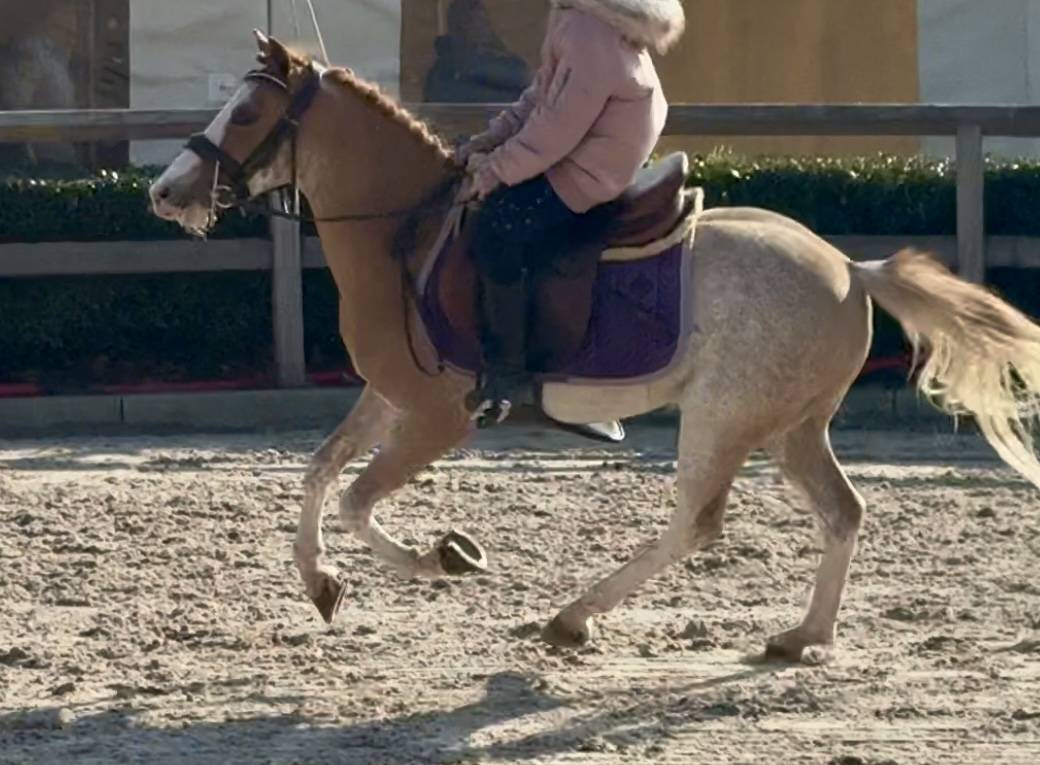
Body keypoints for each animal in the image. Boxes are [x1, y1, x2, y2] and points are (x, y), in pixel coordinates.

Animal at [149, 31, 1040, 664]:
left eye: (249, 115)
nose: (164, 191)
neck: (406, 232)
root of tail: (851, 269)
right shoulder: (388, 394)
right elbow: (318, 473)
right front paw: (322, 582)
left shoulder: (439, 416)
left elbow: (357, 499)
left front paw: (446, 557)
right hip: (791, 427)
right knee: (841, 511)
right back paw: (801, 636)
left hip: (722, 417)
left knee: (696, 524)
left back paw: (573, 616)